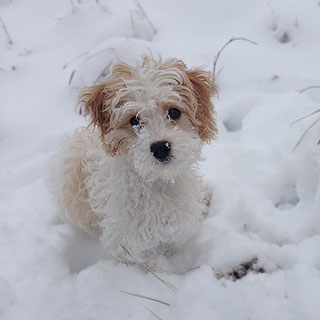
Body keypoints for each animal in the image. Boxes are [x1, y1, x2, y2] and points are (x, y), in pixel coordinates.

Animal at [51, 56, 218, 268]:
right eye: (134, 120)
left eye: (173, 112)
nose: (160, 147)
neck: (158, 183)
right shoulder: (129, 241)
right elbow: (151, 263)